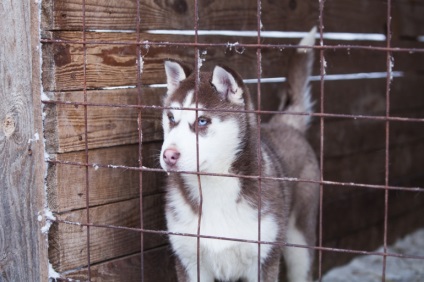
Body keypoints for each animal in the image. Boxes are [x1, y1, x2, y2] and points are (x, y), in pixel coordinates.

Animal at [161, 27, 320, 282]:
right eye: (171, 118)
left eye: (202, 121)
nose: (168, 155)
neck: (214, 186)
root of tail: (283, 123)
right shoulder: (189, 259)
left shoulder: (263, 258)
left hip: (300, 239)